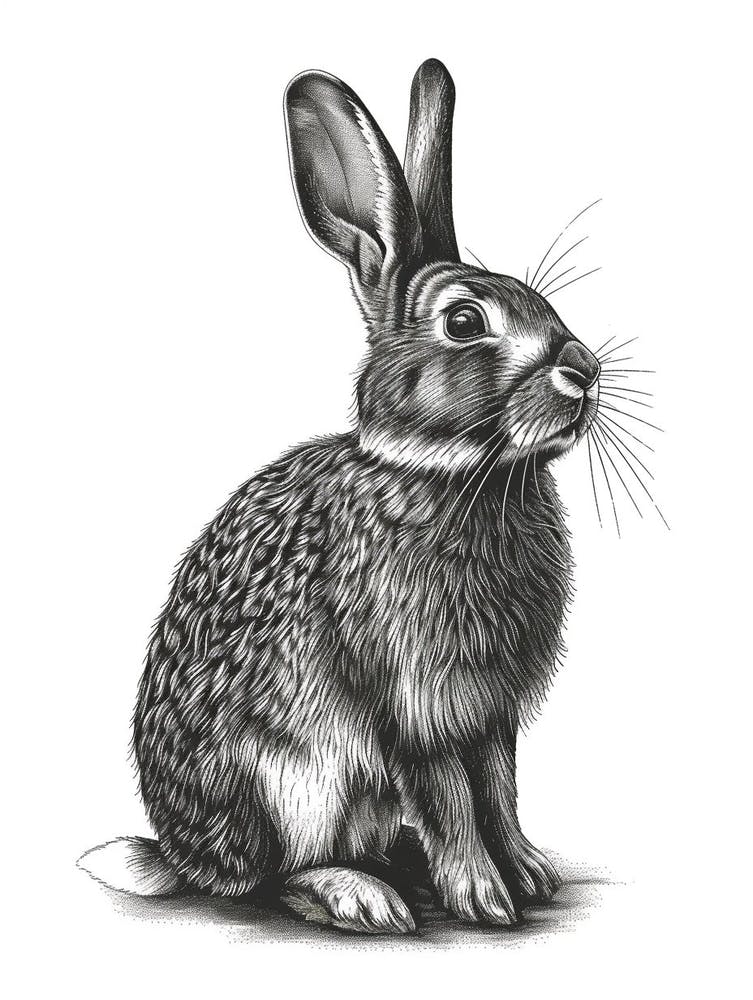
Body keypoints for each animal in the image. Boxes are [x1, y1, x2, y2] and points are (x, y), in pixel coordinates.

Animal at [78, 59, 601, 935]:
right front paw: (482, 895)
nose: (584, 372)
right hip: (291, 781)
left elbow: (498, 787)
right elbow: (450, 798)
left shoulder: (488, 711)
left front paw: (528, 874)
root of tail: (183, 857)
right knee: (272, 878)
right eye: (465, 322)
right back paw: (361, 896)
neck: (451, 473)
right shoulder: (410, 703)